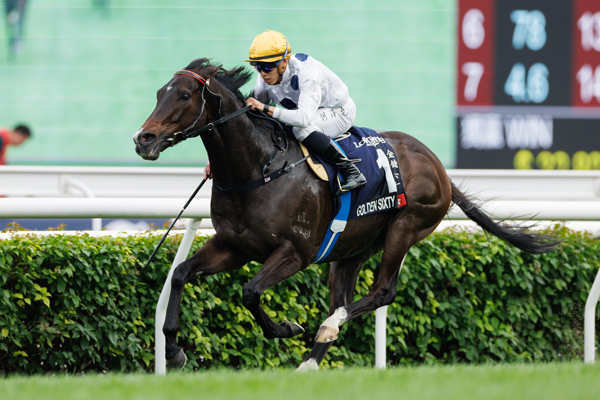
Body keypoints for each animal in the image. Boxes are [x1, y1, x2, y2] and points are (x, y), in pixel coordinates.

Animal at [132, 57, 556, 370]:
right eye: (158, 93)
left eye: (184, 95)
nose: (143, 139)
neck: (258, 168)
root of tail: (440, 167)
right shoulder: (234, 246)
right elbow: (181, 273)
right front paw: (174, 350)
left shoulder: (295, 252)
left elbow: (250, 292)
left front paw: (287, 327)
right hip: (351, 250)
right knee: (342, 298)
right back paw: (310, 359)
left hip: (405, 227)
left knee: (382, 292)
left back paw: (327, 327)